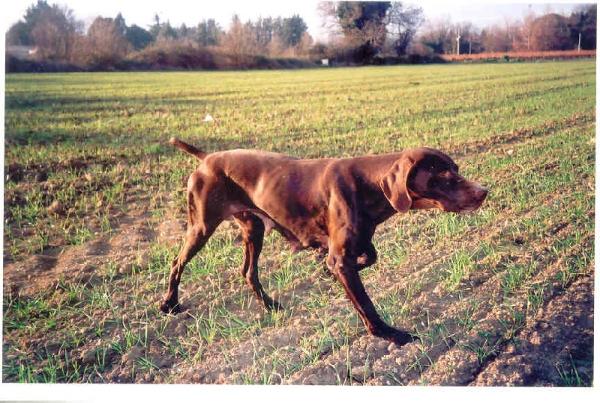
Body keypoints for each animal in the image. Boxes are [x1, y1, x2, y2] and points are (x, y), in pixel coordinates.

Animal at [161, 137, 488, 346]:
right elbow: (365, 304)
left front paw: (324, 265)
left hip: (253, 227)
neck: (368, 183)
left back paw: (270, 305)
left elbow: (368, 255)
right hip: (202, 226)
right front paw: (390, 335)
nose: (484, 192)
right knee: (178, 262)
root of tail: (206, 158)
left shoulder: (352, 246)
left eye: (456, 169)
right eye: (444, 176)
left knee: (248, 272)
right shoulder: (341, 259)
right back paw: (169, 303)